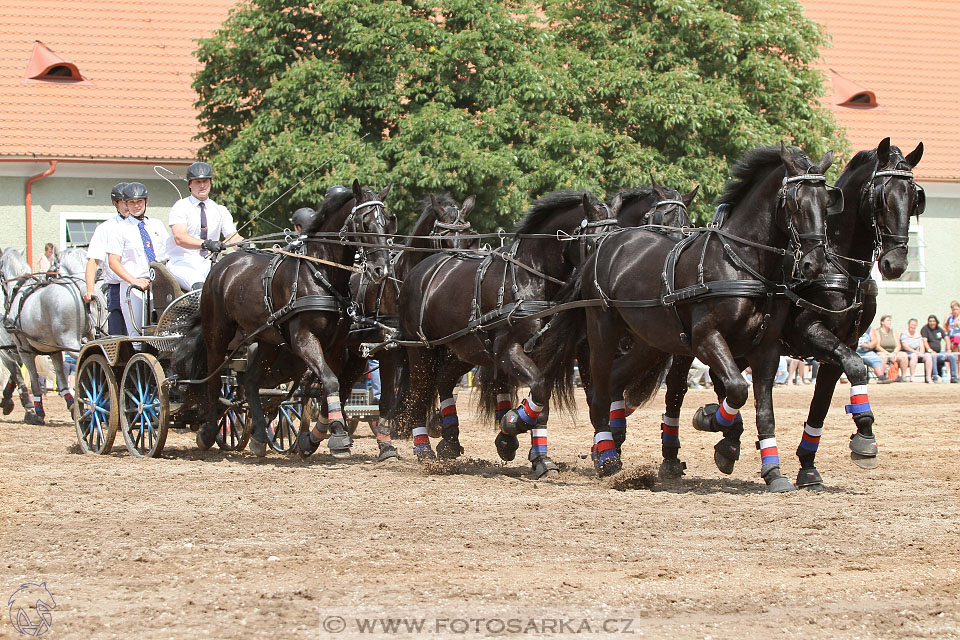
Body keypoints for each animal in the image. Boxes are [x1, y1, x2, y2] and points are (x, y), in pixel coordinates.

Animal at [1, 248, 96, 422]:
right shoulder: (54, 350)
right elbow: (61, 379)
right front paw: (71, 405)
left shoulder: (23, 349)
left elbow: (30, 378)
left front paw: (35, 410)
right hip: (89, 336)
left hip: (70, 342)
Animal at [172, 181, 394, 460]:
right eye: (364, 222)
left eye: (387, 222)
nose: (381, 270)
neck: (319, 273)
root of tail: (223, 265)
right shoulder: (304, 340)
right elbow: (331, 381)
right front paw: (338, 436)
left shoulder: (335, 345)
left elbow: (331, 386)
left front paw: (315, 437)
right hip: (217, 333)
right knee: (213, 379)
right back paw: (209, 431)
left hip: (267, 340)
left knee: (250, 381)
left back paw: (258, 436)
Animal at [544, 145, 836, 492]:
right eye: (793, 202)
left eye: (827, 202)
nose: (814, 263)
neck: (741, 263)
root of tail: (607, 244)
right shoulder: (706, 339)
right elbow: (737, 388)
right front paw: (710, 420)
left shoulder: (766, 350)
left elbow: (763, 410)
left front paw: (773, 471)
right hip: (603, 330)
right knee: (599, 392)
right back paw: (608, 458)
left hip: (650, 342)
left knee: (615, 380)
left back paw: (612, 445)